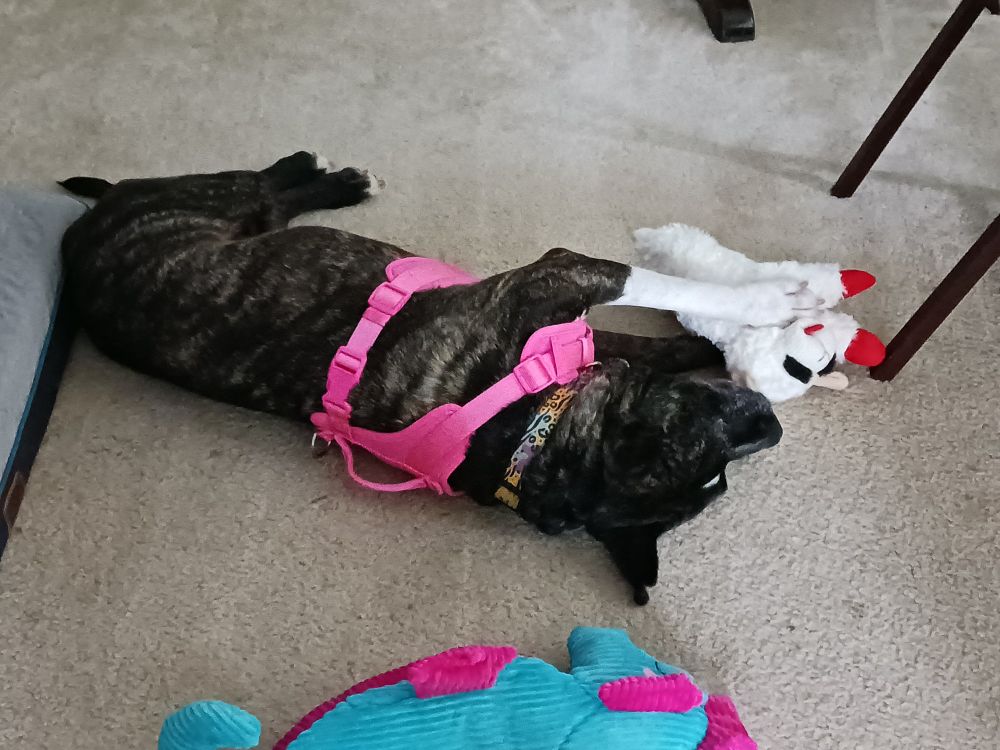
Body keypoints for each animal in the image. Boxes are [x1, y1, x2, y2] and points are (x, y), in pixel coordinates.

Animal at [58, 153, 820, 604]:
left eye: (723, 478)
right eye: (709, 438)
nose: (773, 426)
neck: (532, 437)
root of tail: (84, 230)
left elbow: (647, 343)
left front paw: (718, 342)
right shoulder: (567, 272)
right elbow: (663, 291)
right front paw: (774, 301)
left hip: (249, 226)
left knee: (272, 202)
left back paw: (333, 182)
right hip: (205, 199)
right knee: (253, 178)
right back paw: (322, 170)